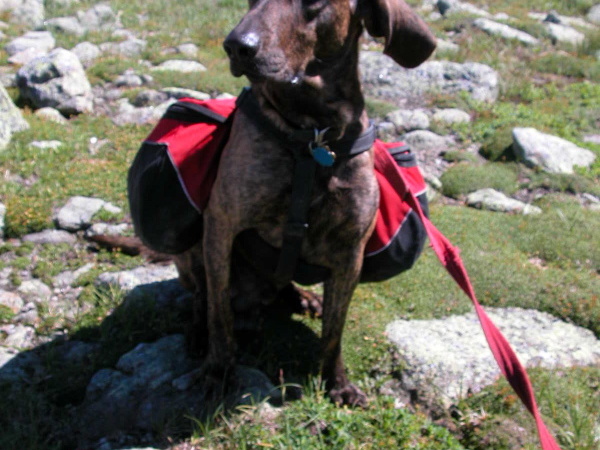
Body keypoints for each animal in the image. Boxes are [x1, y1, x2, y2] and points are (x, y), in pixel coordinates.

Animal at [173, 0, 436, 406]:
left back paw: (301, 298)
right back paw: (200, 332)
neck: (314, 134)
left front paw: (337, 382)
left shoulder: (350, 253)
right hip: (192, 249)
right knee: (203, 297)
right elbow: (220, 316)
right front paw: (218, 370)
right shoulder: (221, 226)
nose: (236, 46)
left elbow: (334, 331)